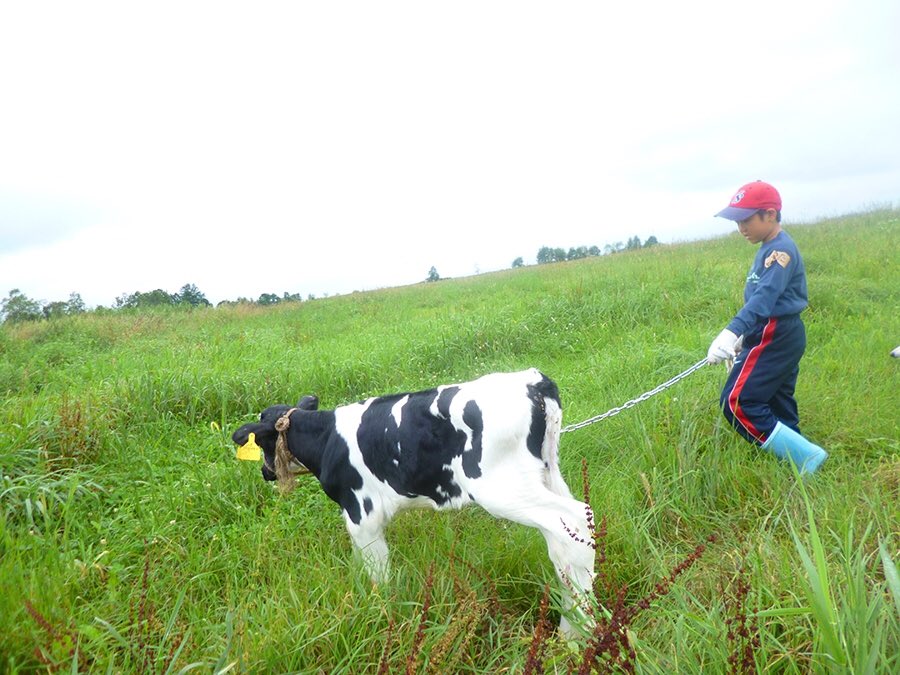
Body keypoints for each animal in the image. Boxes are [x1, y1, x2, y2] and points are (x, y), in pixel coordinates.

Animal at [236, 368, 596, 636]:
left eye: (263, 441)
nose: (267, 473)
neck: (326, 439)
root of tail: (533, 381)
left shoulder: (361, 513)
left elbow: (377, 570)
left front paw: (385, 611)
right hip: (544, 475)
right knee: (568, 537)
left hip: (502, 487)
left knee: (574, 520)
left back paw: (578, 632)